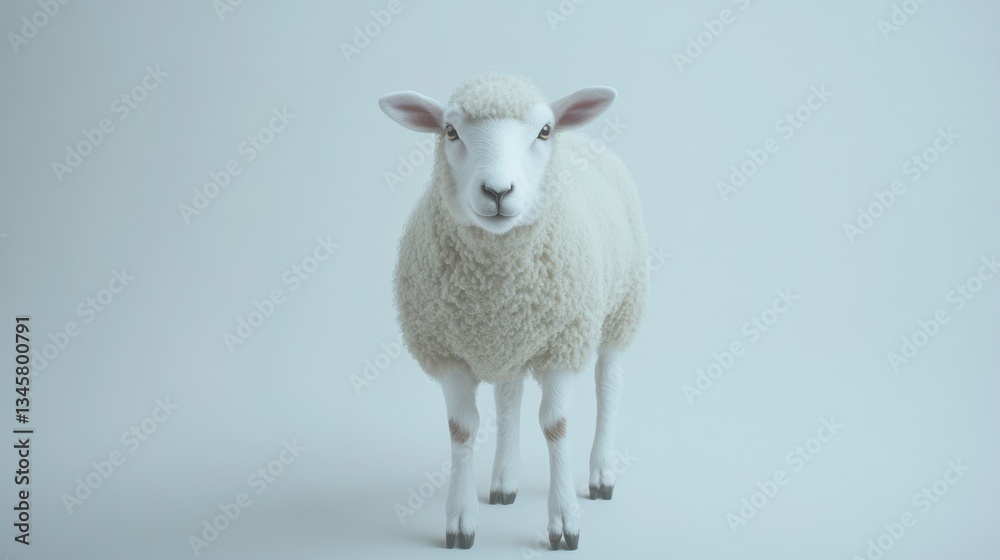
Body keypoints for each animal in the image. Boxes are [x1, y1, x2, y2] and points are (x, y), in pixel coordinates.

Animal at [378, 72, 647, 551]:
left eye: (544, 131)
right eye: (450, 131)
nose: (498, 191)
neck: (496, 285)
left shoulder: (563, 343)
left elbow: (556, 426)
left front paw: (563, 520)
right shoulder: (447, 351)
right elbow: (462, 428)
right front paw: (460, 520)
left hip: (621, 309)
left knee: (608, 385)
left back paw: (601, 473)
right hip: (514, 339)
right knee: (509, 396)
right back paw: (505, 480)